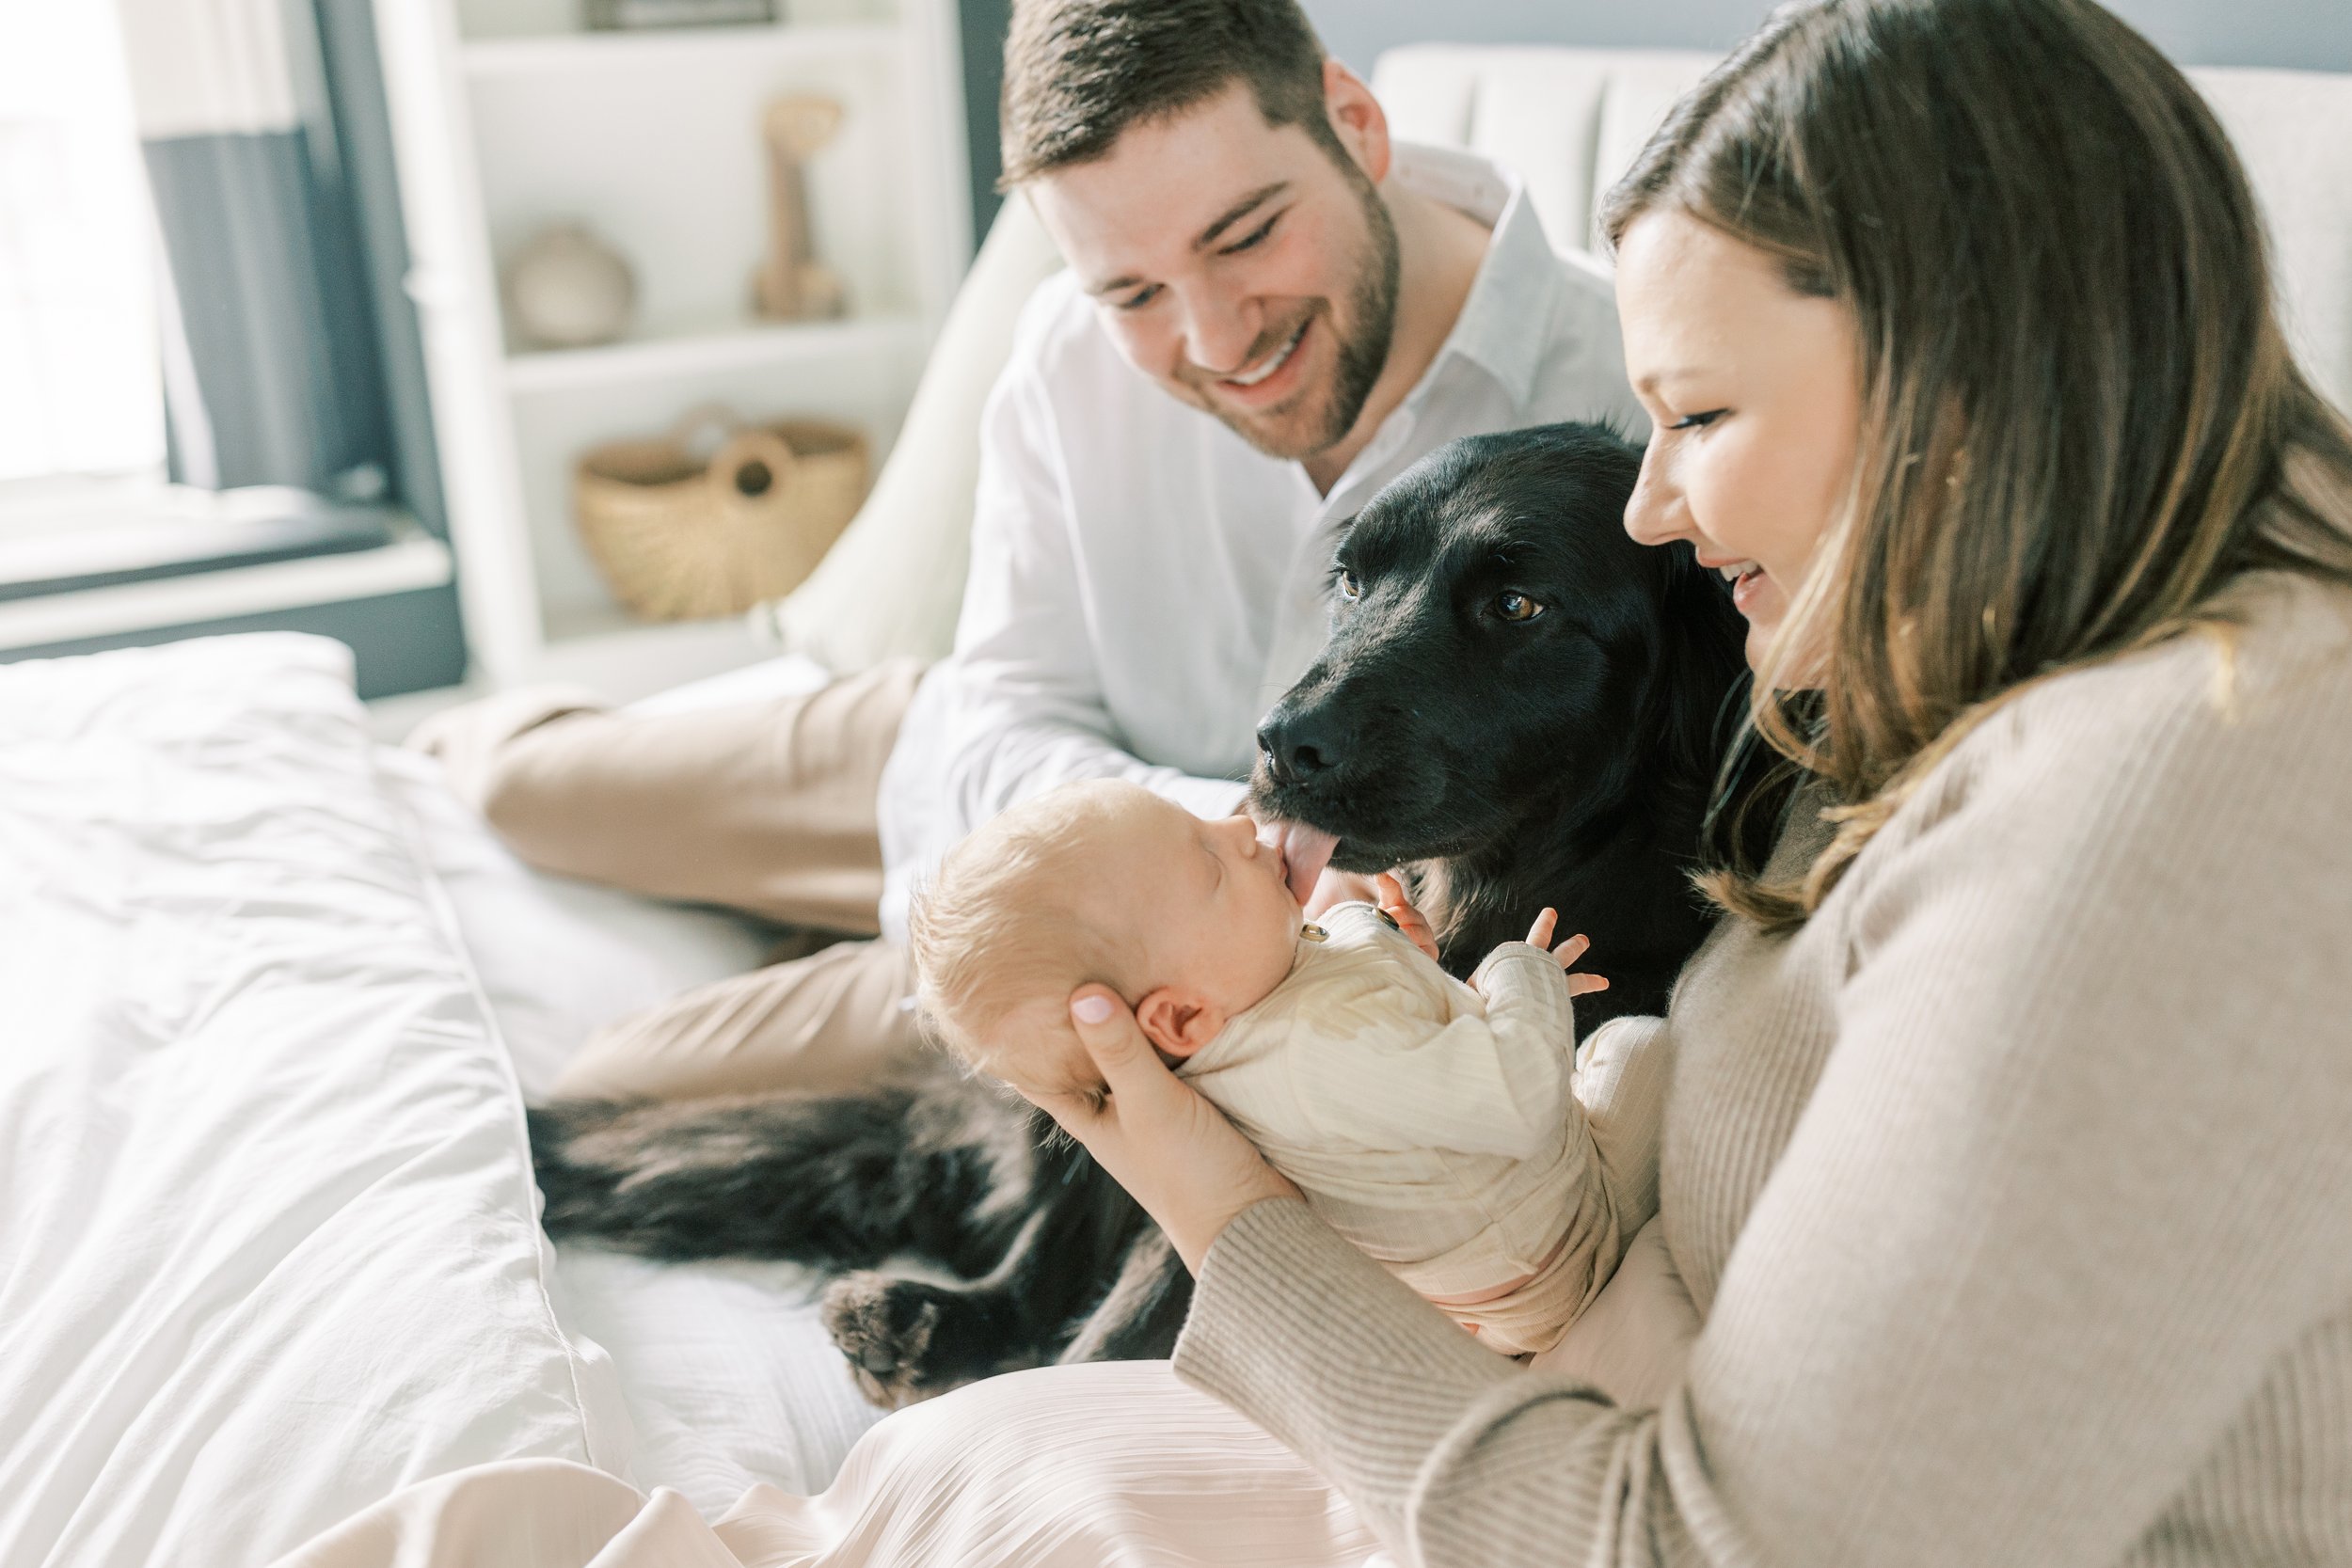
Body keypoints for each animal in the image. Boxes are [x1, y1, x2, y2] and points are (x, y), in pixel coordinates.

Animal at [533, 420, 1750, 1410]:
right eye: (1351, 584)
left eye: (1518, 605)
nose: (1280, 741)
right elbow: (1140, 1276)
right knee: (1044, 1256)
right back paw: (930, 1321)